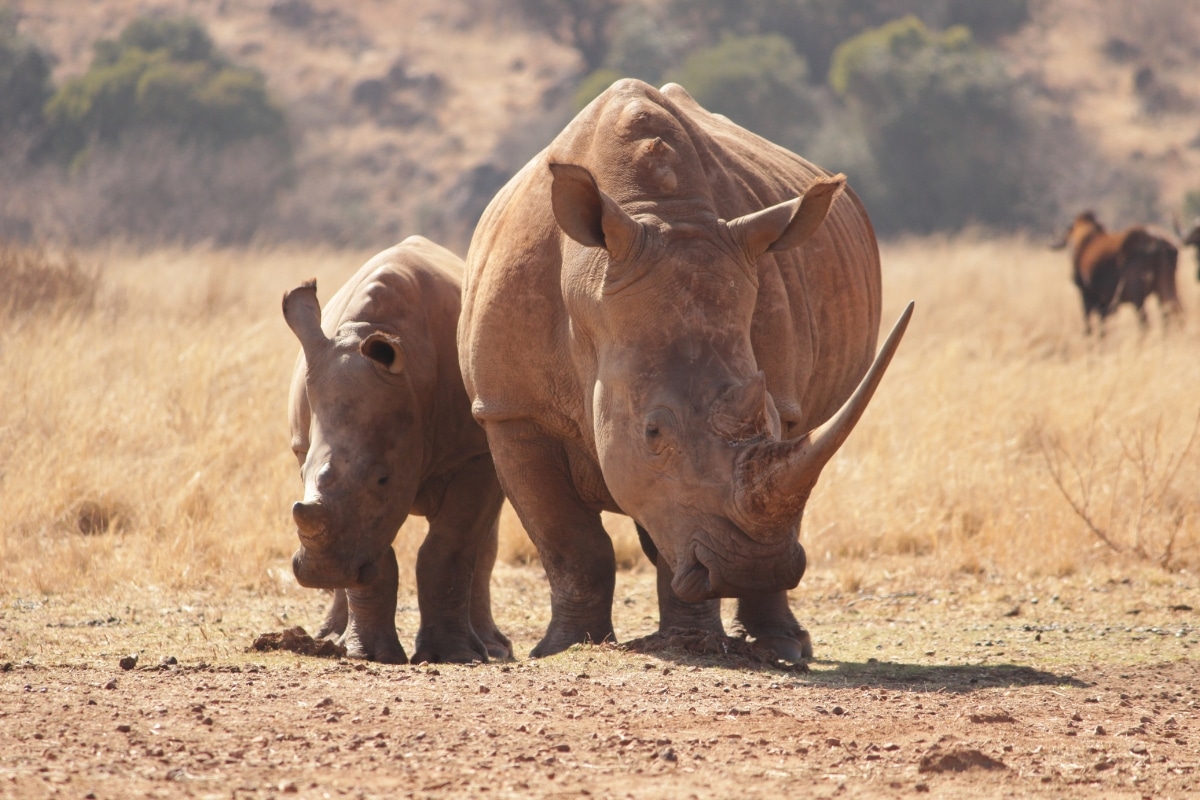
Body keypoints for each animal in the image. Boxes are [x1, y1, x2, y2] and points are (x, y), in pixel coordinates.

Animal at [284, 236, 510, 664]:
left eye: (383, 479)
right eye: (301, 473)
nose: (321, 573)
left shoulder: (474, 454)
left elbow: (450, 547)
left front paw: (453, 656)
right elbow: (375, 551)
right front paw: (369, 655)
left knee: (483, 540)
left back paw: (492, 648)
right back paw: (332, 638)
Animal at [459, 79, 912, 661]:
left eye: (770, 419)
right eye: (653, 431)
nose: (751, 569)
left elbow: (673, 525)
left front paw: (691, 642)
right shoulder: (510, 411)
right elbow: (569, 542)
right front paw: (564, 648)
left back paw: (783, 648)